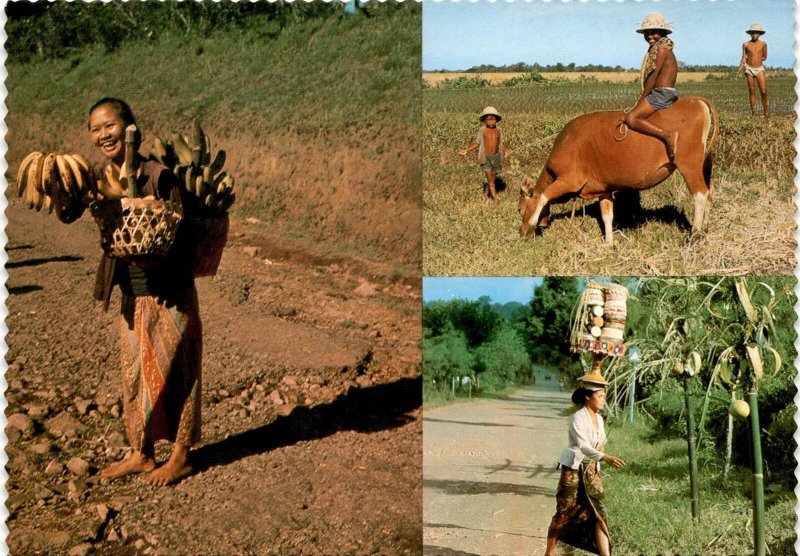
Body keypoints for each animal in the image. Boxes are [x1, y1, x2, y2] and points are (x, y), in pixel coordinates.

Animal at [520, 96, 720, 244]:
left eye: (520, 210)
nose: (521, 233)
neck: (567, 142)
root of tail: (694, 100)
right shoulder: (603, 189)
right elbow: (607, 215)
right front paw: (608, 243)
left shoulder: (568, 180)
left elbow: (544, 196)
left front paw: (532, 225)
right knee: (709, 194)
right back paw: (705, 230)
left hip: (689, 165)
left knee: (700, 195)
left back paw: (694, 234)